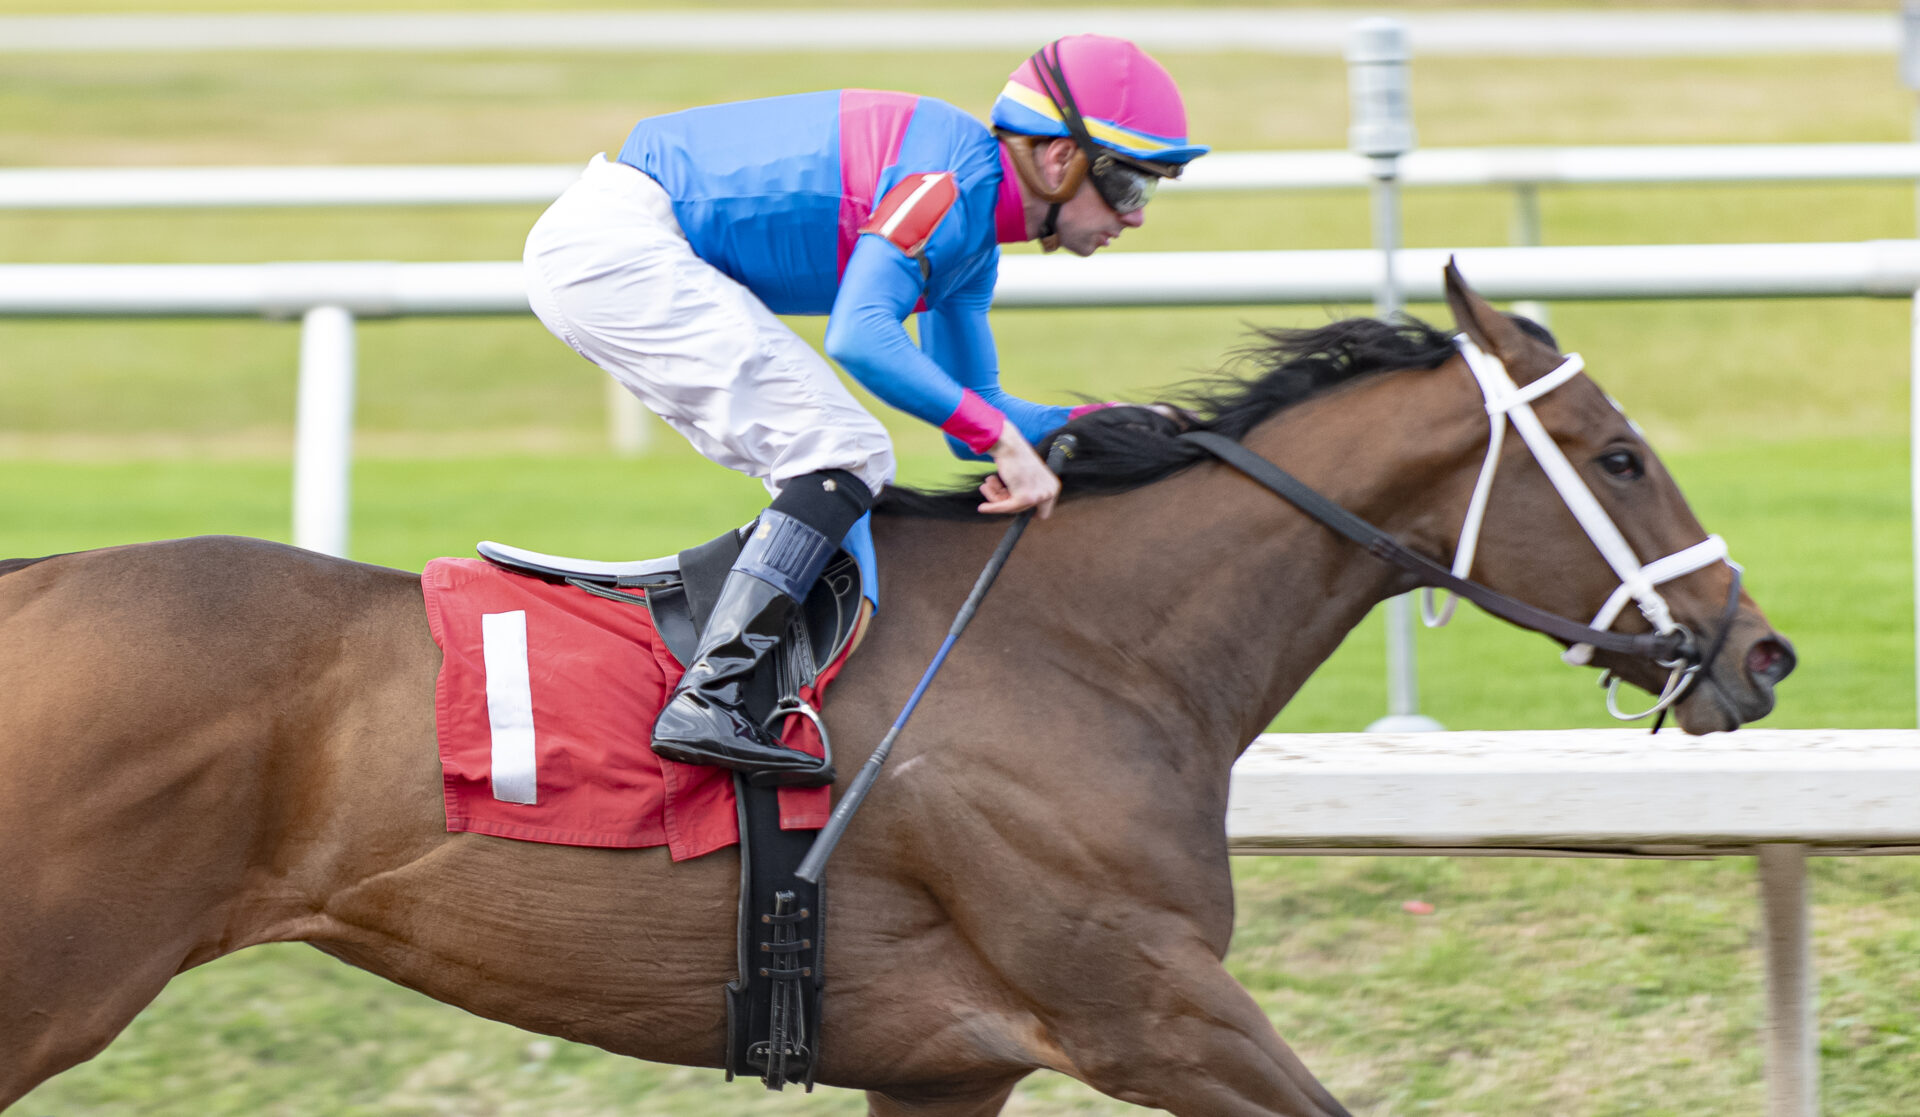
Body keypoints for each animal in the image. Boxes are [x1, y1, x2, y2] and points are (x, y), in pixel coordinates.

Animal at [7, 270, 1789, 1117]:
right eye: (1620, 455)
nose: (1757, 648)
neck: (1097, 647)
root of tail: (33, 581)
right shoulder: (1150, 1011)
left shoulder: (943, 1062)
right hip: (55, 977)